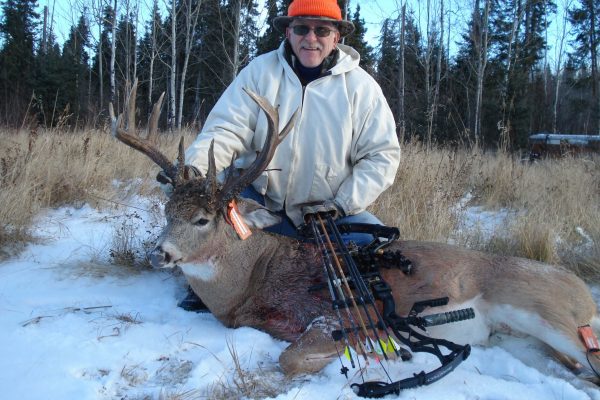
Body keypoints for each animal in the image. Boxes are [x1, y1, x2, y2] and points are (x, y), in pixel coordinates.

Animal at [109, 83, 600, 386]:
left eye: (202, 220)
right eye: (167, 210)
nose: (159, 253)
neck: (248, 285)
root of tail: (585, 293)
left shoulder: (329, 315)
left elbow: (290, 357)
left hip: (549, 312)